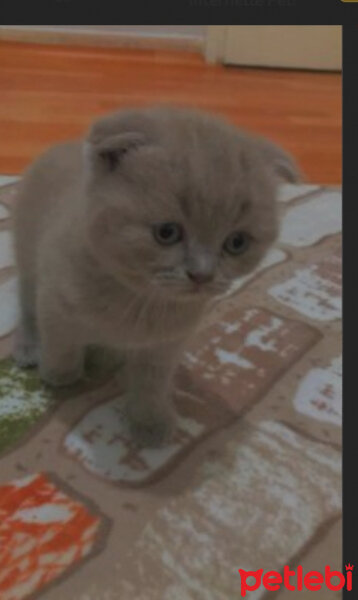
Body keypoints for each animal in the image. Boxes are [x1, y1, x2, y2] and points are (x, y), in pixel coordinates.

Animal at [13, 106, 300, 446]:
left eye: (237, 242)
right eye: (167, 232)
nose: (202, 274)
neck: (140, 301)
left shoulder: (167, 343)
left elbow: (152, 381)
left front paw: (150, 420)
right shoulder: (54, 299)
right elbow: (61, 342)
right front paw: (60, 374)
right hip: (26, 256)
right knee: (26, 303)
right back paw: (30, 347)